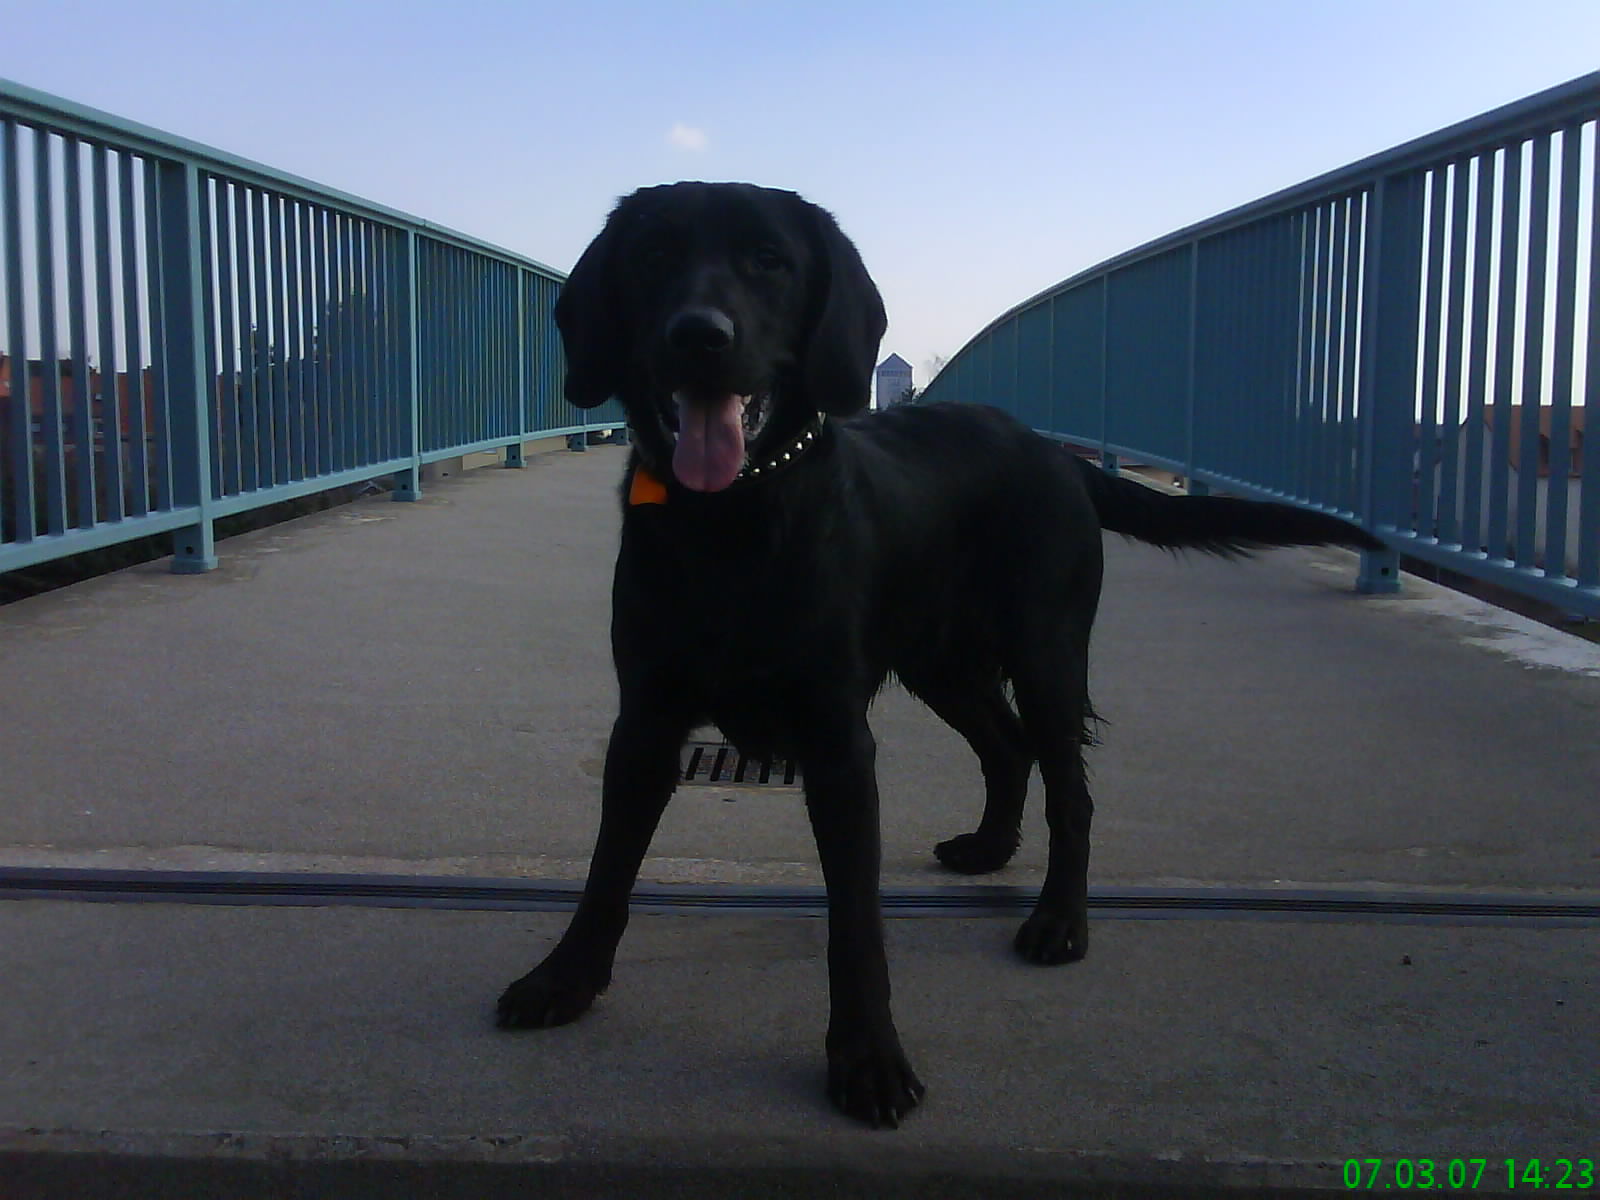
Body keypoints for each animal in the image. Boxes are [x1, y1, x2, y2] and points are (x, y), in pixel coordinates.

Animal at [499, 178, 1388, 1126]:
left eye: (769, 260)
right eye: (655, 255)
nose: (699, 335)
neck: (732, 520)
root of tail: (1056, 455)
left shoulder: (838, 744)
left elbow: (855, 922)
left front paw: (868, 1060)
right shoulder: (644, 722)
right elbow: (607, 870)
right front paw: (564, 979)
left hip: (1046, 653)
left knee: (1068, 788)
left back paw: (1059, 923)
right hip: (943, 664)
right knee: (1007, 748)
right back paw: (990, 848)